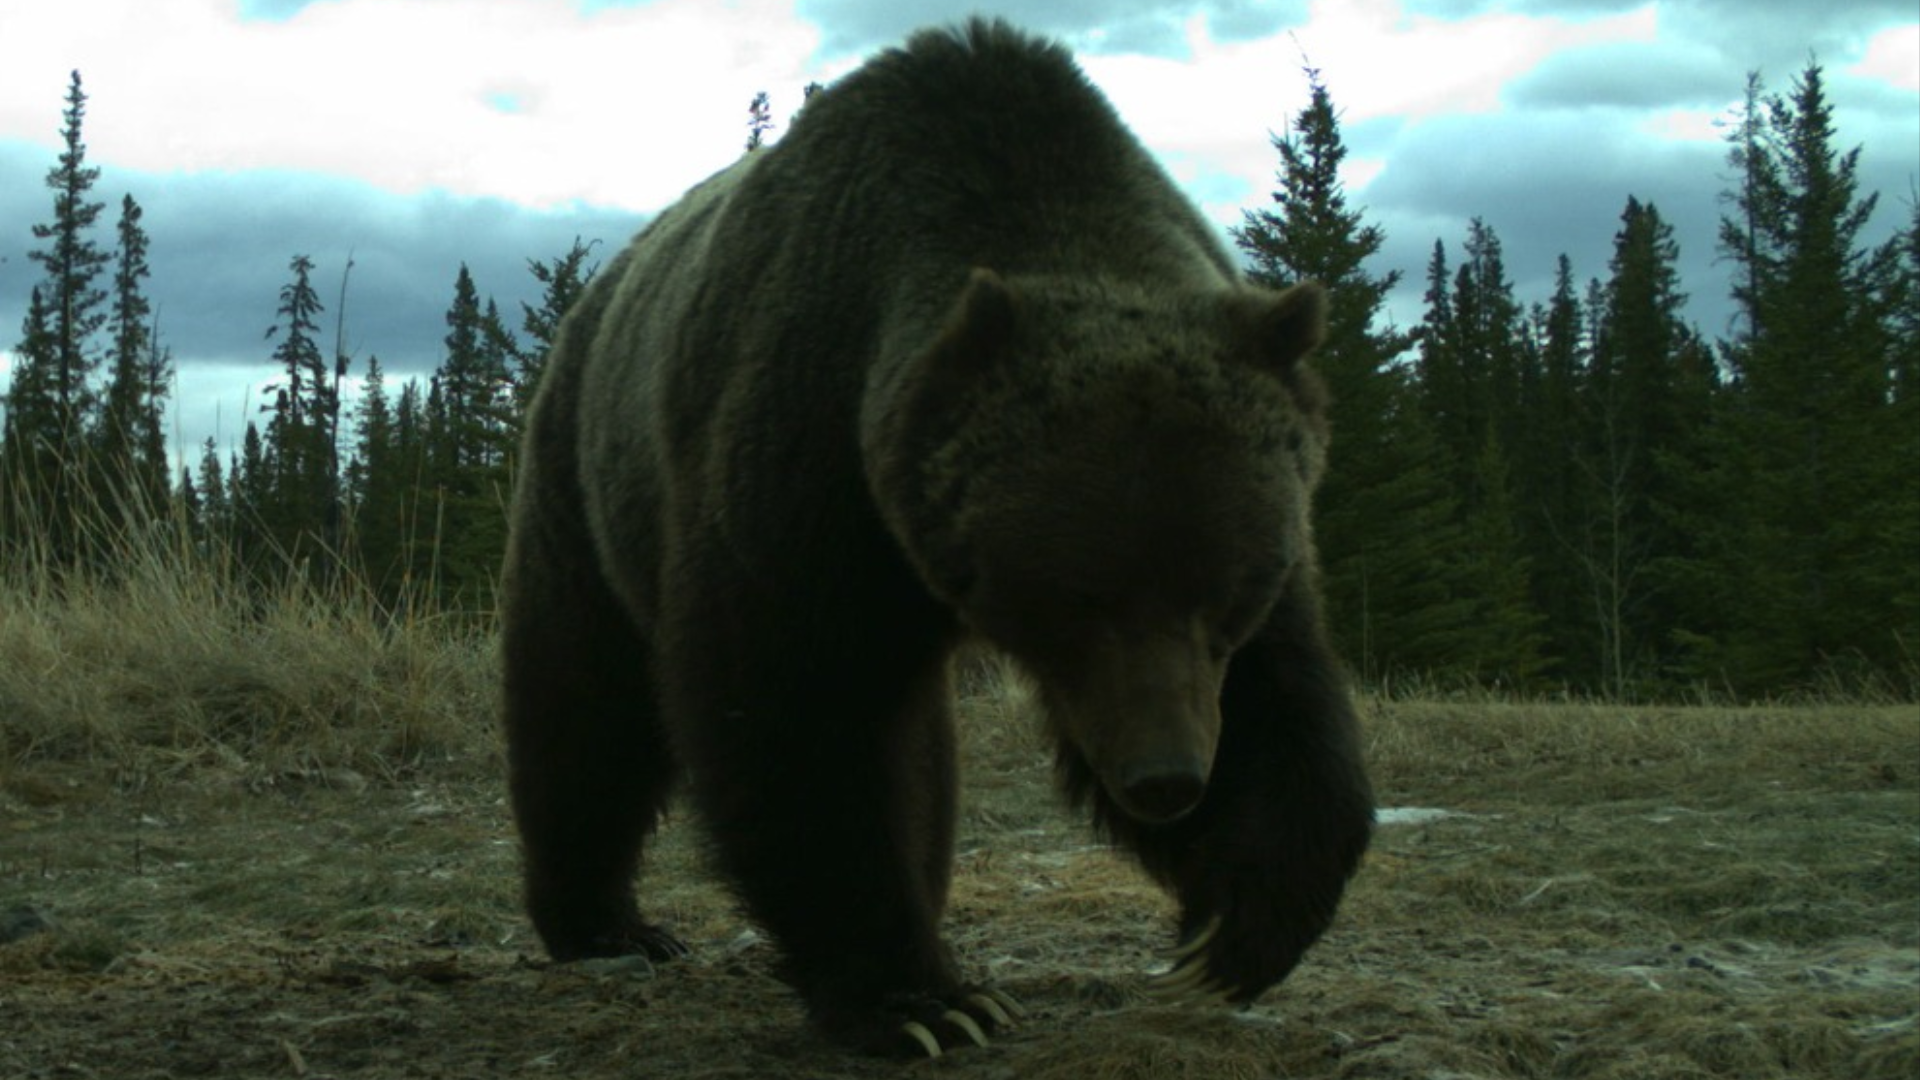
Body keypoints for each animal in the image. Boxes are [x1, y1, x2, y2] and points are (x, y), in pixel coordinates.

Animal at [500, 18, 1374, 1058]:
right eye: (1080, 601)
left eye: (1227, 597)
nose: (1167, 779)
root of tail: (589, 300)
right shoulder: (803, 457)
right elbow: (796, 714)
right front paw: (921, 1002)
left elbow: (1287, 696)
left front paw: (1238, 926)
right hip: (585, 489)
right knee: (584, 704)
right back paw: (606, 922)